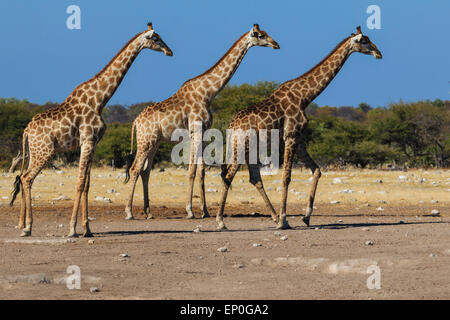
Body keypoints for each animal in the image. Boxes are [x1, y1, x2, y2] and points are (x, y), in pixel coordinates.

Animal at [10, 22, 173, 236]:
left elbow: (87, 184)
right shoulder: (87, 140)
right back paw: (28, 227)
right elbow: (80, 183)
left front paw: (87, 228)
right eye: (155, 38)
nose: (169, 51)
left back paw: (23, 225)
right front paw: (72, 228)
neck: (100, 100)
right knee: (27, 178)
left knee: (22, 177)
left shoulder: (93, 143)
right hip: (45, 151)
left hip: (34, 152)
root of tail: (26, 131)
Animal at [123, 24, 278, 220]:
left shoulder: (204, 133)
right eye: (260, 35)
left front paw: (205, 211)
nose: (276, 44)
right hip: (145, 140)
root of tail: (136, 121)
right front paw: (189, 210)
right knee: (135, 169)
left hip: (154, 142)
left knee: (145, 171)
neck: (208, 93)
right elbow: (191, 171)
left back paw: (148, 213)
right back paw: (129, 212)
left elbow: (202, 172)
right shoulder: (195, 132)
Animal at [216, 25, 382, 230]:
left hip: (249, 148)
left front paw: (306, 217)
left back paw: (270, 217)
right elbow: (286, 177)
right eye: (364, 41)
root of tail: (231, 126)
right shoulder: (291, 136)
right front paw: (284, 220)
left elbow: (317, 170)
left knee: (252, 177)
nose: (379, 53)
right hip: (242, 146)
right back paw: (221, 221)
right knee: (229, 175)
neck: (305, 97)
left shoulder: (299, 138)